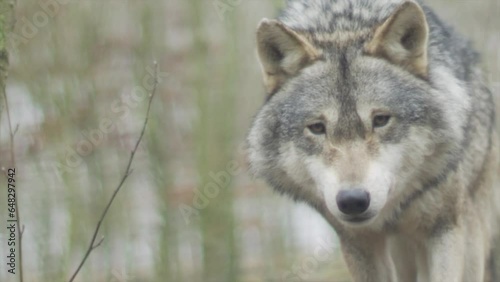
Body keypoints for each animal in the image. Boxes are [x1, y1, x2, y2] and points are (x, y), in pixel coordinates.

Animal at [246, 0, 500, 280]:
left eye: (380, 120)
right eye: (317, 128)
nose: (352, 200)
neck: (343, 25)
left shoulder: (445, 227)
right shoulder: (358, 242)